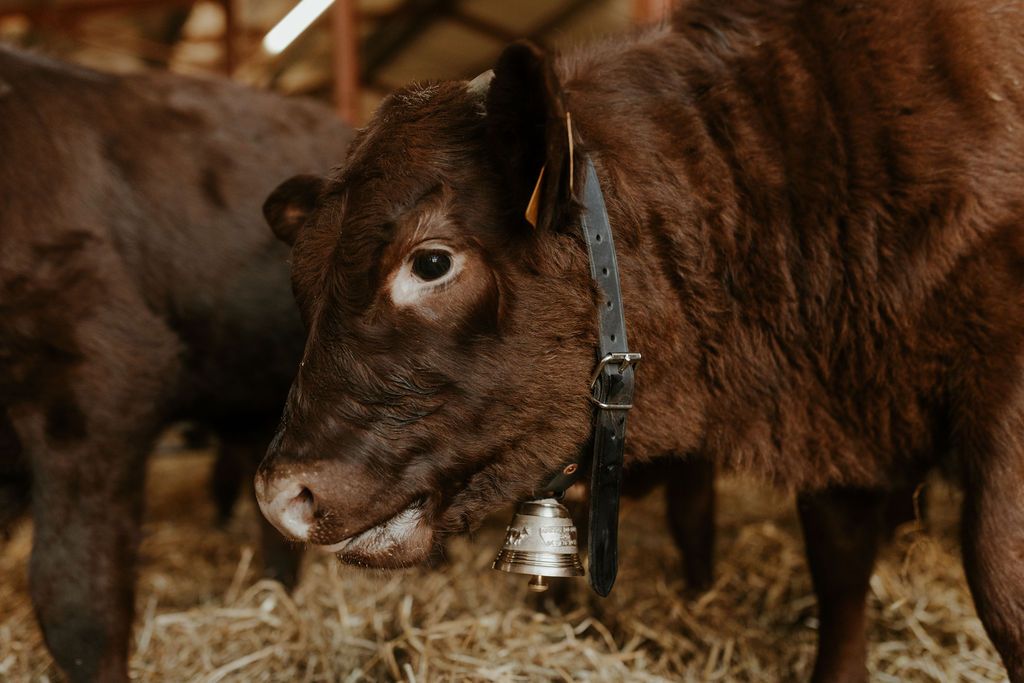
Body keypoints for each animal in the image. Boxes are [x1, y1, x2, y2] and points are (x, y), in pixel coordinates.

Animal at [254, 0, 1024, 681]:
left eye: (432, 261)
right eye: (301, 283)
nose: (281, 493)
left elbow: (998, 576)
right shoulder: (841, 433)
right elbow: (837, 563)